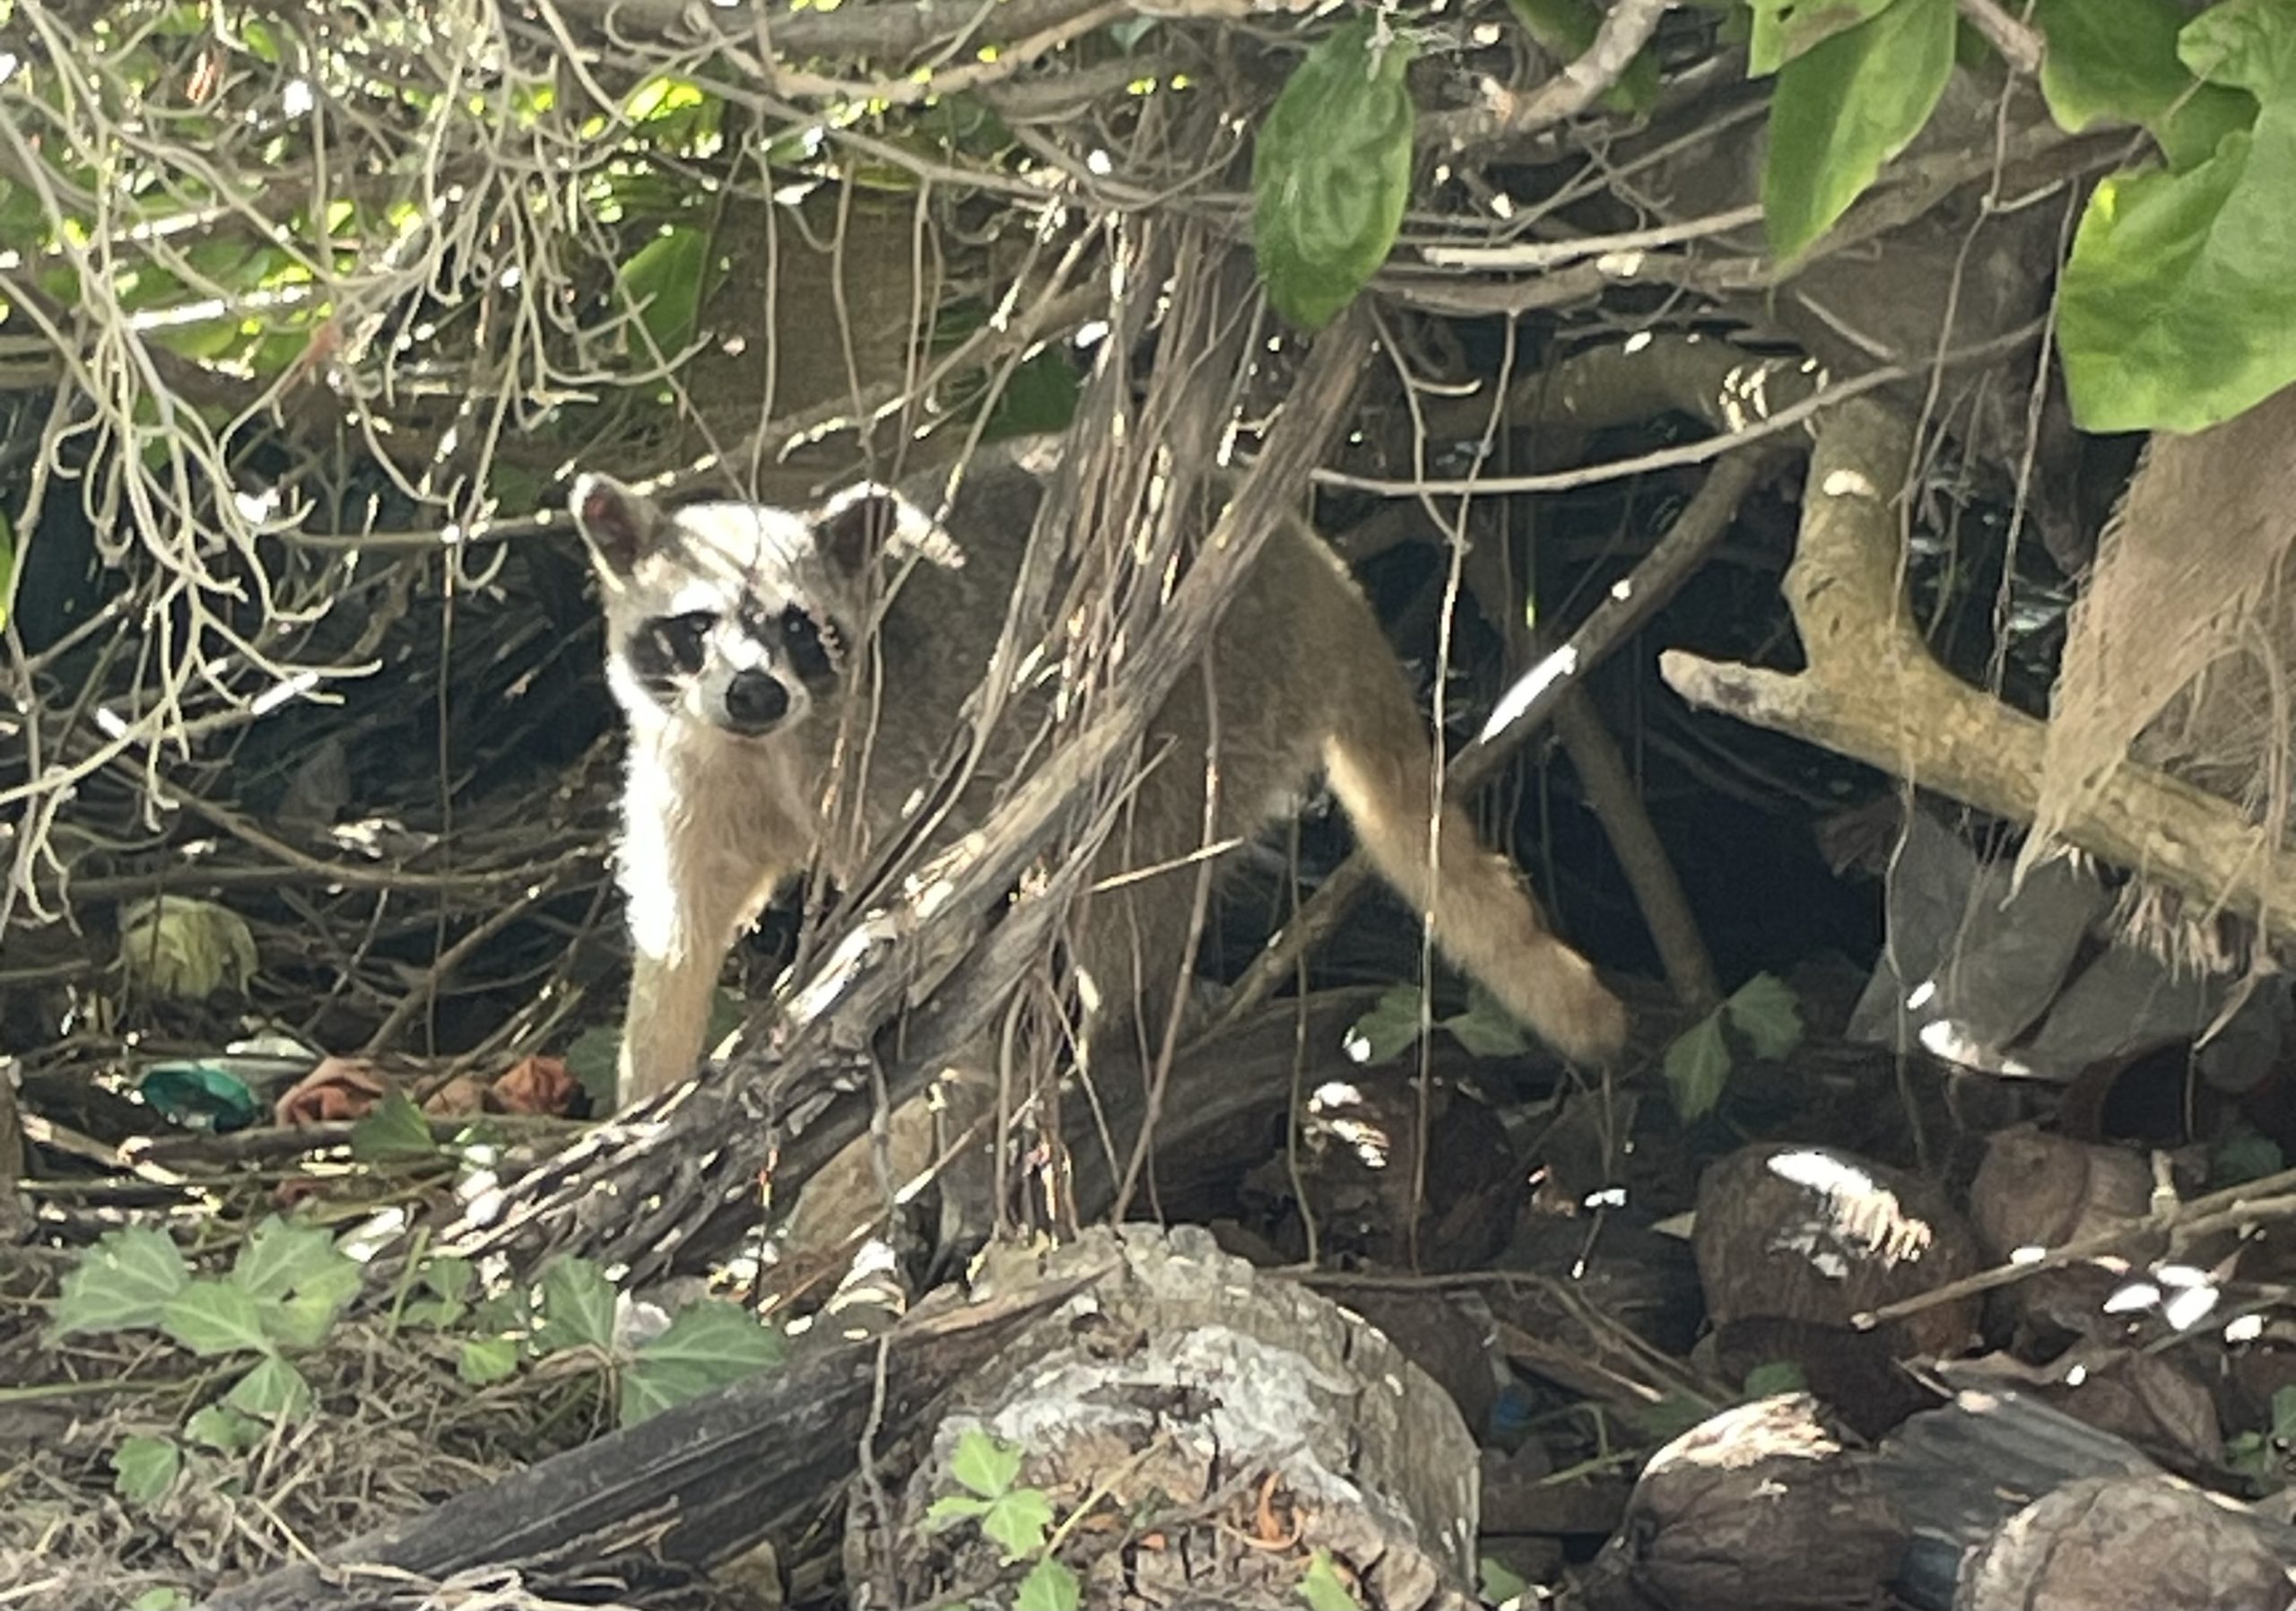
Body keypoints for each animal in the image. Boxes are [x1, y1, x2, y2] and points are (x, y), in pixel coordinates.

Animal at [571, 445, 1629, 1111]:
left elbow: (929, 927)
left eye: (800, 628)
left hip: (1207, 699)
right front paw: (649, 1087)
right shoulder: (688, 763)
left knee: (1124, 879)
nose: (754, 689)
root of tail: (1323, 578)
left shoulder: (895, 760)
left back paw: (1115, 1039)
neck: (758, 748)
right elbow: (677, 935)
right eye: (696, 625)